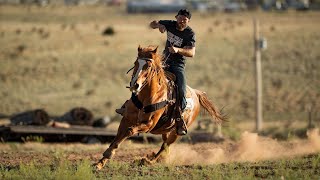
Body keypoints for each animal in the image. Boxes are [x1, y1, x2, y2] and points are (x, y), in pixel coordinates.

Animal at [95, 45, 225, 170]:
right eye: (136, 63)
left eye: (148, 66)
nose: (135, 85)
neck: (146, 97)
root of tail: (196, 92)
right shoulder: (126, 118)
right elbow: (117, 138)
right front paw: (100, 162)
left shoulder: (149, 124)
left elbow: (129, 130)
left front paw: (107, 155)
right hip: (166, 129)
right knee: (165, 145)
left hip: (177, 131)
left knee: (165, 146)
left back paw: (148, 161)